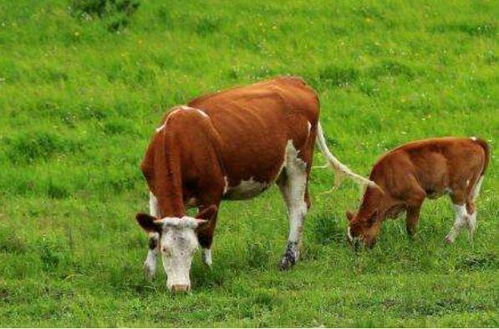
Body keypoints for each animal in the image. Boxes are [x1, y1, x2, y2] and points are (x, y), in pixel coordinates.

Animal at [135, 77, 374, 292]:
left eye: (192, 251)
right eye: (166, 250)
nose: (180, 288)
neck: (179, 138)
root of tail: (296, 81)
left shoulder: (212, 193)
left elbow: (206, 235)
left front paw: (207, 270)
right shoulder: (154, 192)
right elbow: (152, 235)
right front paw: (148, 274)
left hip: (299, 163)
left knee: (299, 208)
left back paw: (287, 260)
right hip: (282, 171)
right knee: (295, 206)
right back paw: (295, 254)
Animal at [346, 137, 490, 247]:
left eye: (361, 238)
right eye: (349, 240)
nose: (357, 254)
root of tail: (471, 140)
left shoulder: (416, 197)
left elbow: (411, 226)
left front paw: (414, 243)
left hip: (458, 191)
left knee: (463, 216)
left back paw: (448, 240)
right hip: (468, 192)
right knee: (471, 211)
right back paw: (470, 241)